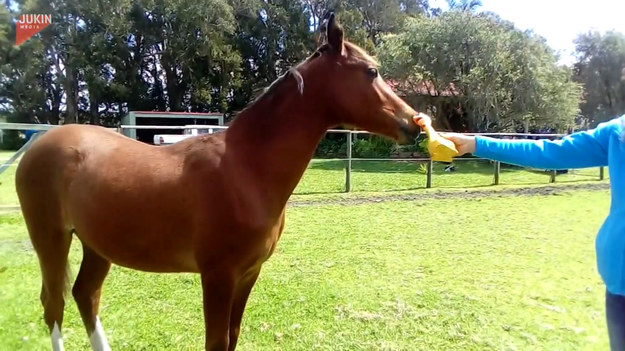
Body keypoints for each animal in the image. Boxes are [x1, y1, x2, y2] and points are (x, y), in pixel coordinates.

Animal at [14, 15, 422, 351]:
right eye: (371, 71)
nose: (414, 124)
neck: (244, 170)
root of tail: (39, 145)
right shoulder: (218, 277)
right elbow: (216, 341)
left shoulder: (247, 275)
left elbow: (232, 337)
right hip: (51, 240)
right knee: (54, 303)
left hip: (97, 244)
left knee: (86, 295)